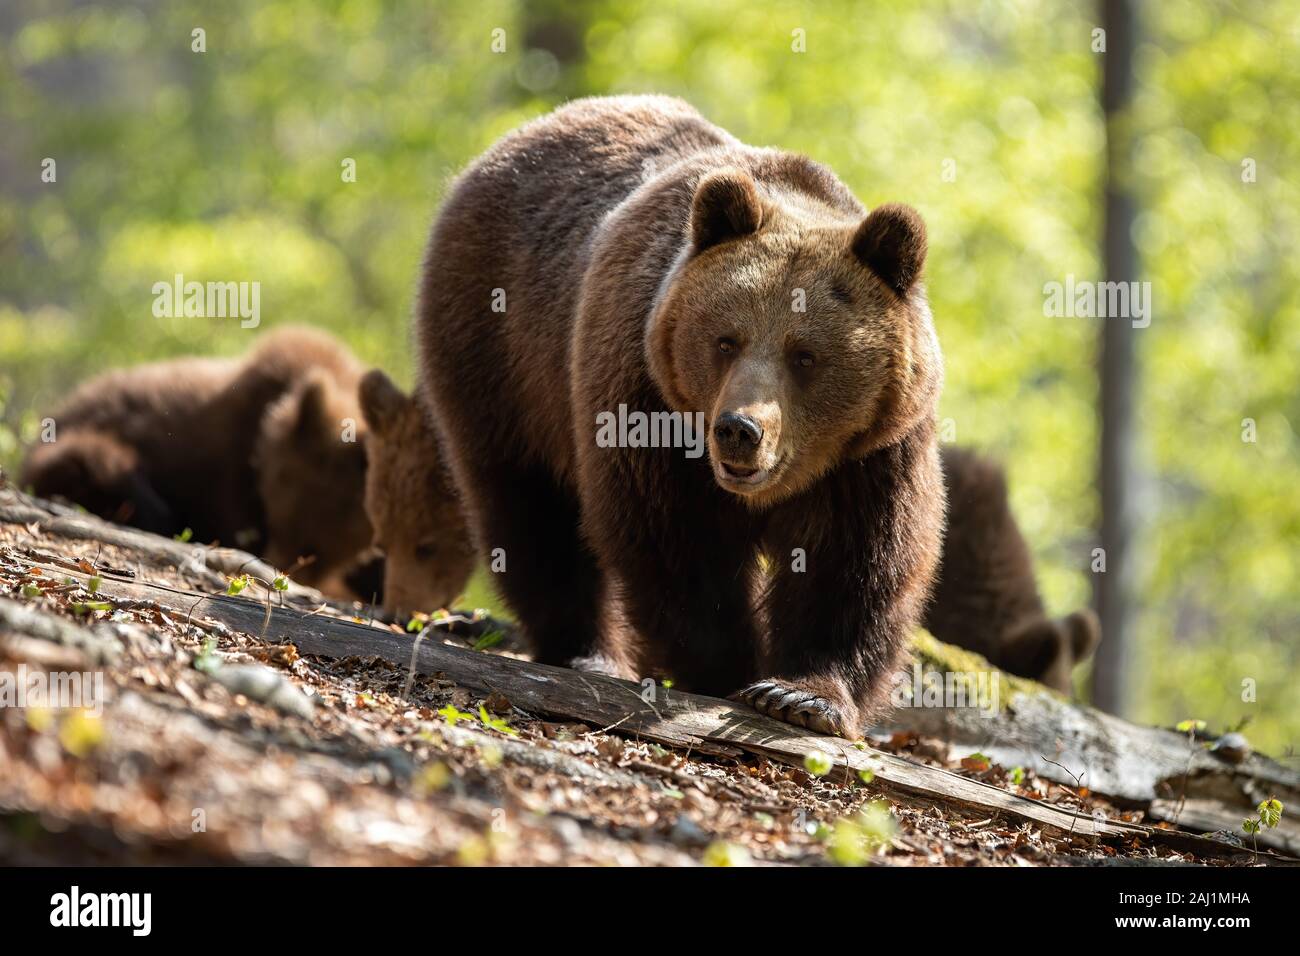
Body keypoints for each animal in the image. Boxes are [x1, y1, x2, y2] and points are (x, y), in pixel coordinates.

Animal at [416, 95, 945, 738]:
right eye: (726, 340)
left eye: (805, 354)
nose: (739, 430)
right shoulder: (646, 401)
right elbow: (672, 541)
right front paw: (728, 669)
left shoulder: (873, 452)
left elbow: (858, 562)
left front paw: (801, 695)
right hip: (501, 351)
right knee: (526, 506)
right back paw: (587, 652)